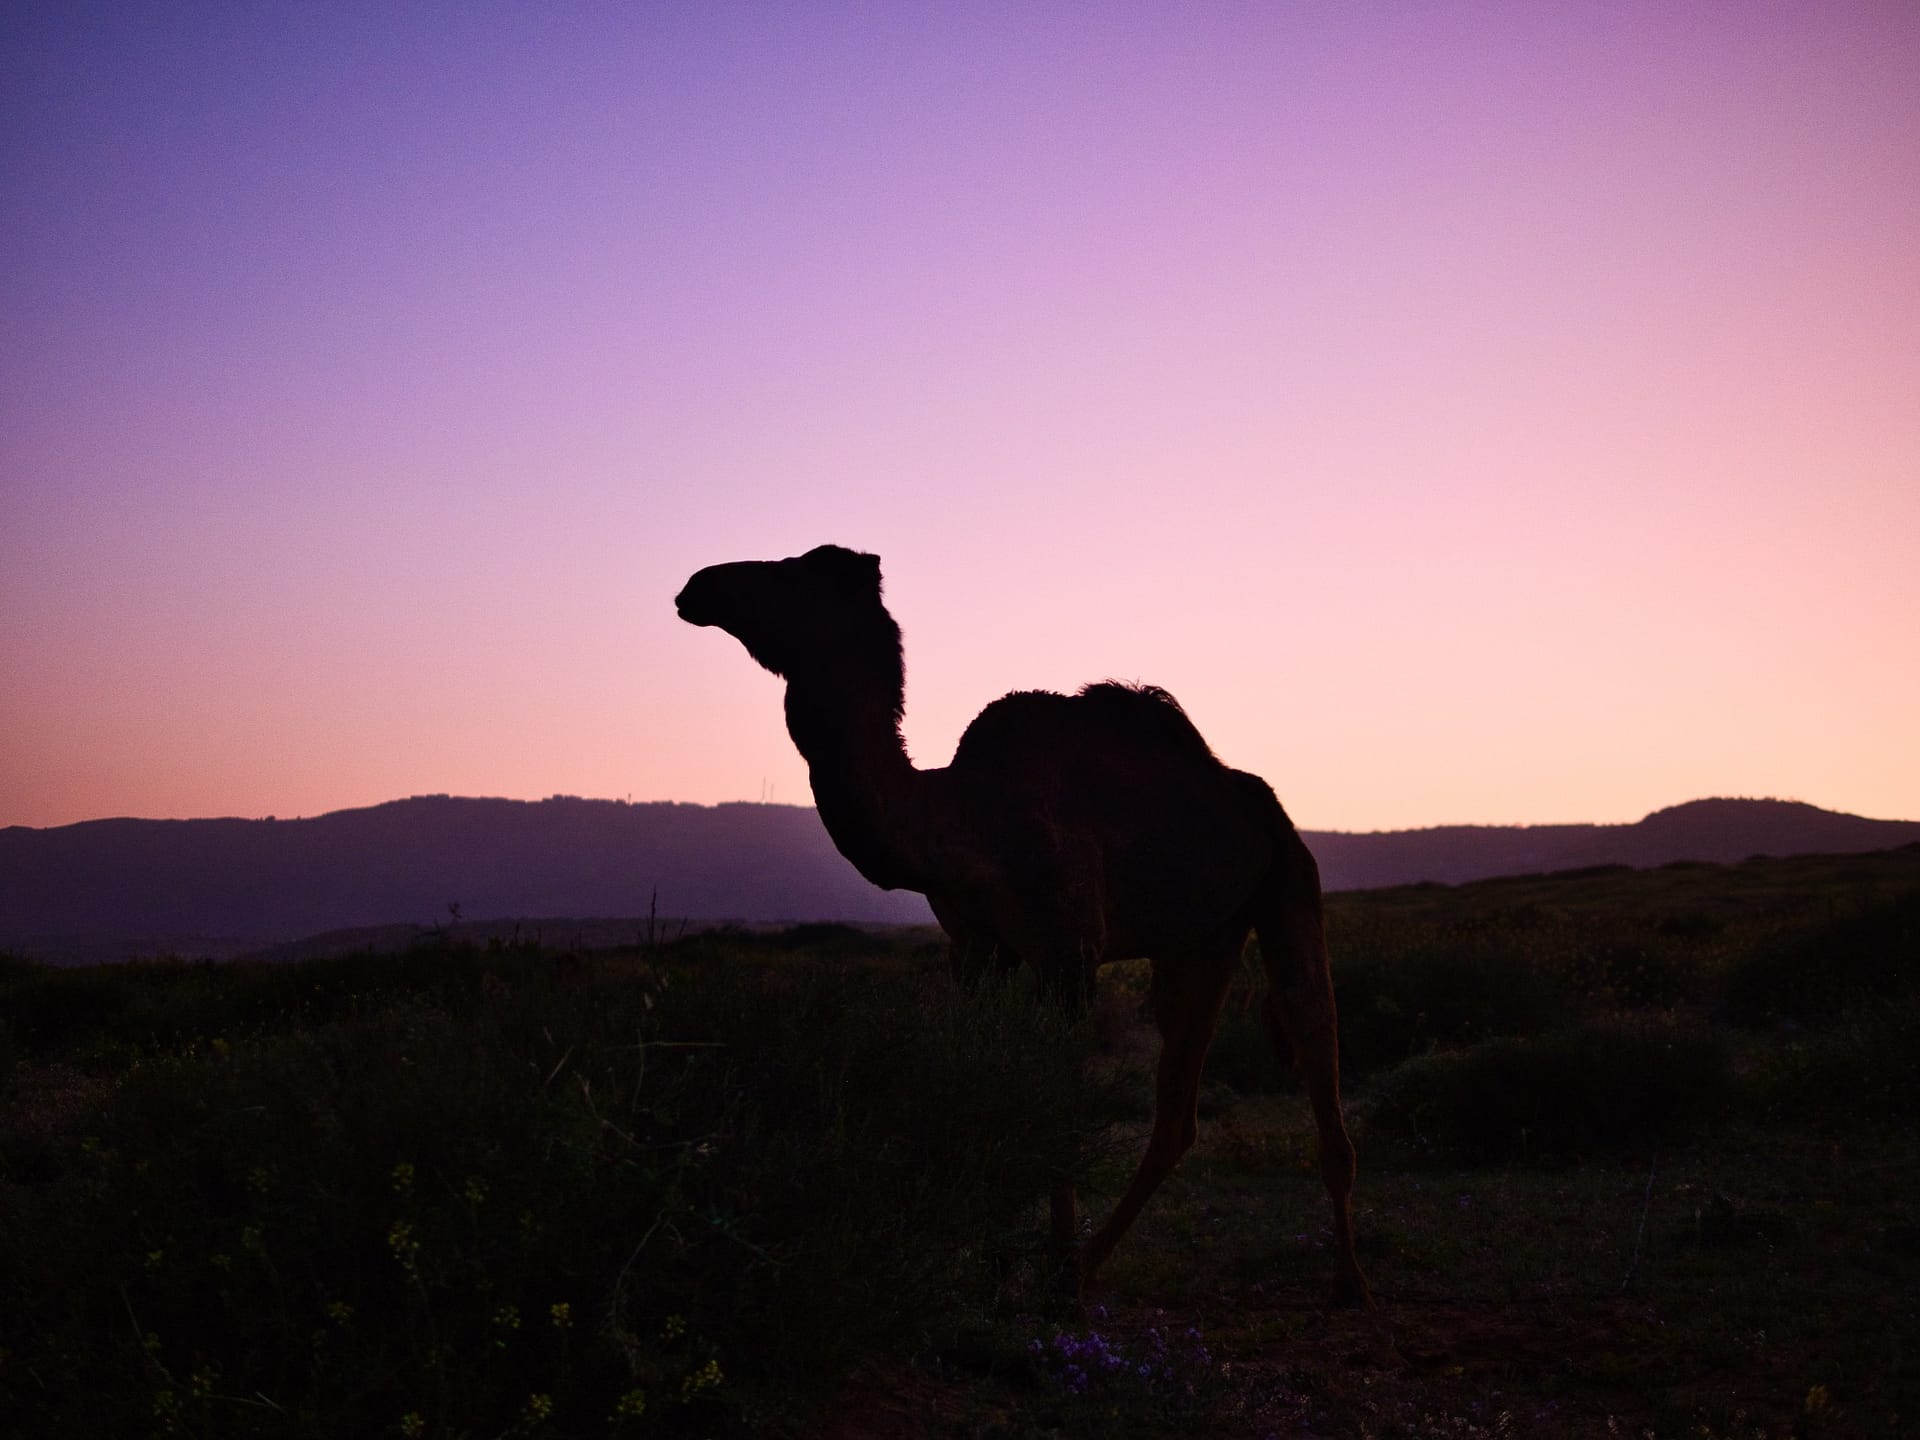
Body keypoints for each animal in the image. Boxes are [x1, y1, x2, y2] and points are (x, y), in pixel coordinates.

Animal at [675, 544, 1368, 1305]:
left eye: (797, 571)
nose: (696, 586)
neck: (959, 815)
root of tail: (1262, 802)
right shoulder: (976, 949)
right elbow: (978, 1075)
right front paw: (995, 1262)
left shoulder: (1068, 949)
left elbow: (1058, 1098)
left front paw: (1044, 1264)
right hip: (1200, 945)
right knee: (1176, 1116)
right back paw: (1090, 1261)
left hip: (1288, 884)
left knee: (1311, 1025)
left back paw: (1346, 1278)